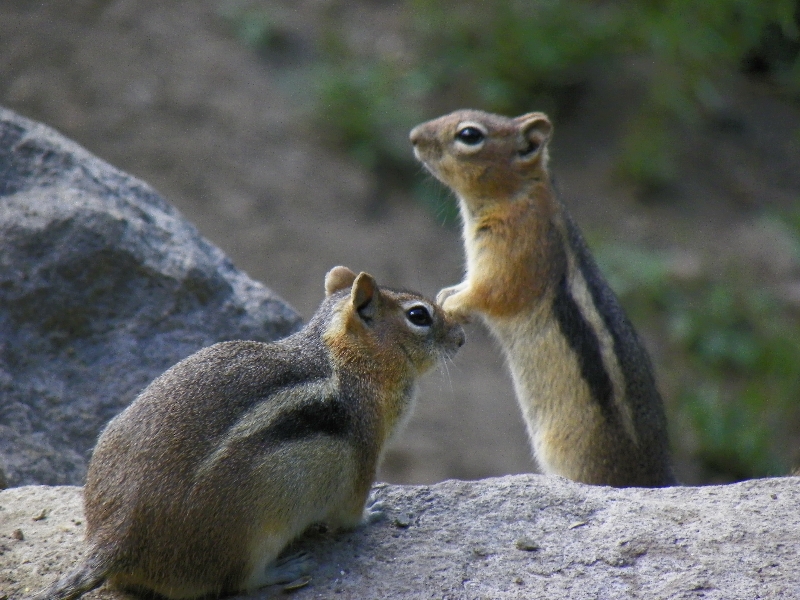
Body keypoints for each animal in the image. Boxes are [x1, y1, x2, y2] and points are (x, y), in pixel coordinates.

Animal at [32, 266, 464, 600]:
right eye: (419, 315)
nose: (461, 338)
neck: (348, 361)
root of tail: (114, 540)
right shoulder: (364, 450)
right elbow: (349, 512)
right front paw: (373, 513)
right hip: (251, 535)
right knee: (237, 582)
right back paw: (284, 570)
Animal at [410, 109, 675, 488]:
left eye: (469, 135)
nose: (414, 137)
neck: (520, 193)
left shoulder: (515, 249)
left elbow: (492, 291)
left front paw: (453, 305)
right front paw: (447, 294)